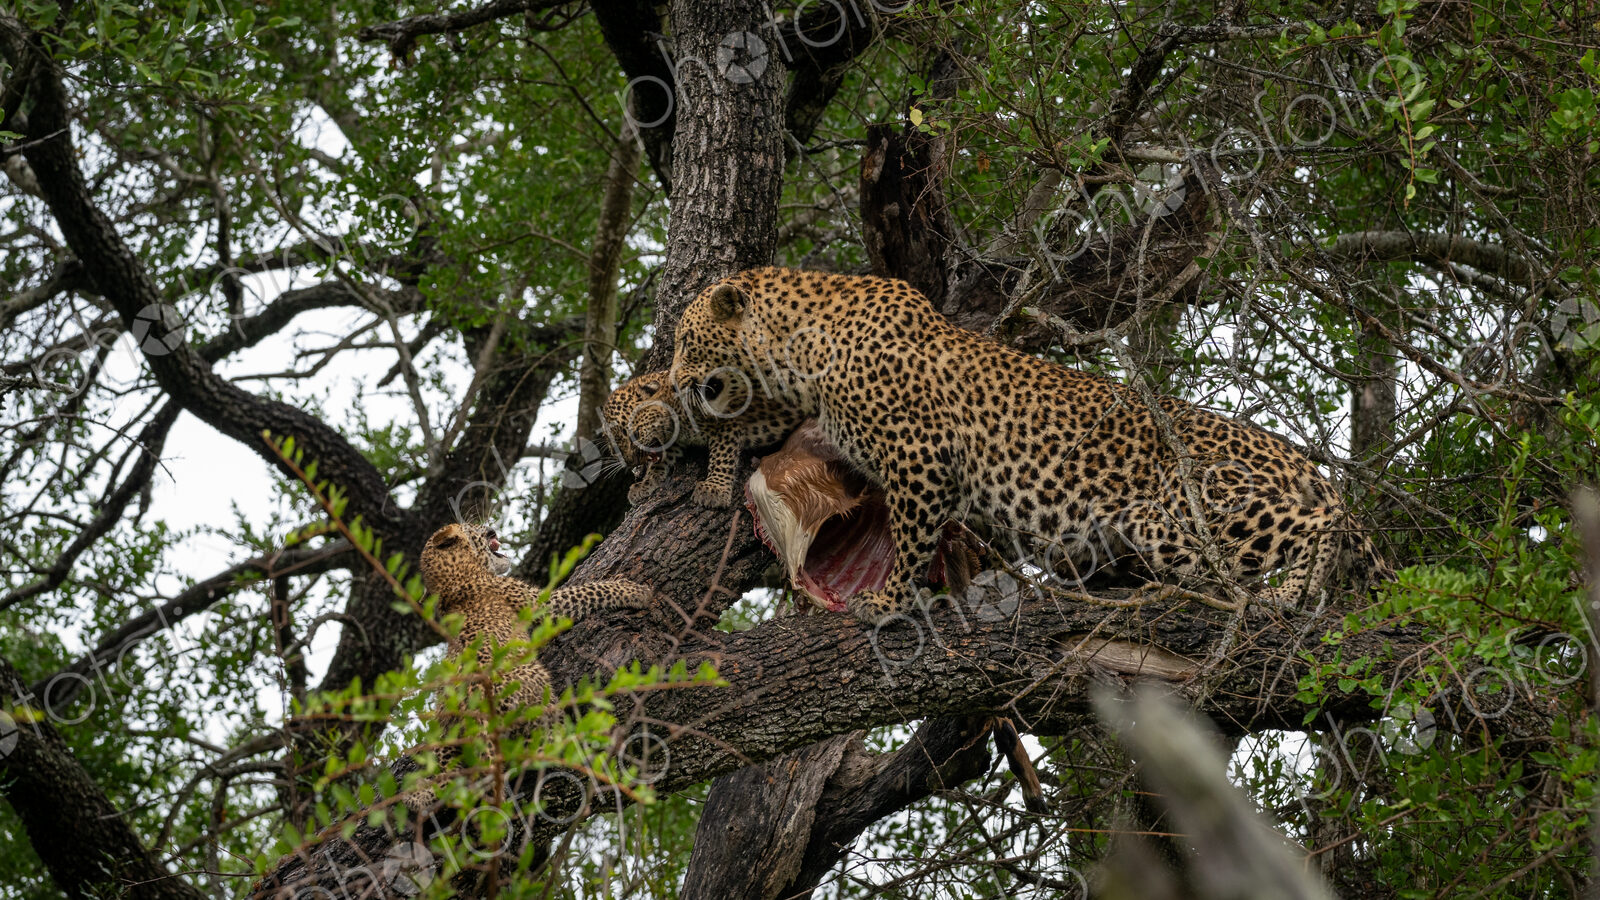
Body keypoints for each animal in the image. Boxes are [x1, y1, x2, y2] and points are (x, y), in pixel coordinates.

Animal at [400, 522, 653, 814]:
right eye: (472, 527)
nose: (490, 527)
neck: (454, 579)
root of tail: (477, 719)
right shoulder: (540, 603)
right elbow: (589, 591)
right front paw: (633, 591)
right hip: (533, 680)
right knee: (538, 747)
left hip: (446, 732)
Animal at [601, 369, 803, 508]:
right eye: (615, 447)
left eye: (634, 433)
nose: (631, 462)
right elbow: (659, 464)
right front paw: (645, 484)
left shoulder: (726, 421)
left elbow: (722, 457)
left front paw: (715, 490)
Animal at [669, 267, 1392, 625]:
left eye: (682, 338)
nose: (675, 380)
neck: (796, 345)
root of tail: (1291, 452)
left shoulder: (922, 455)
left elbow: (909, 540)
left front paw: (889, 602)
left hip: (1187, 510)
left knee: (1319, 522)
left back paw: (1287, 593)